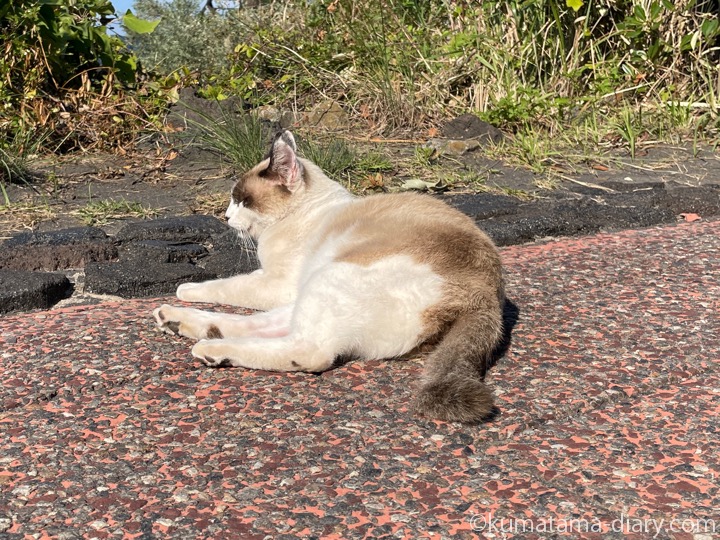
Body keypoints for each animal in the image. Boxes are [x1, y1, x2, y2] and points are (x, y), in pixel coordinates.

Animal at [155, 130, 506, 422]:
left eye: (242, 201)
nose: (226, 217)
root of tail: (485, 298)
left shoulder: (278, 285)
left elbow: (227, 284)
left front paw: (186, 286)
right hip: (312, 292)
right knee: (253, 326)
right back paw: (177, 321)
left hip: (327, 278)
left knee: (306, 351)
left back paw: (210, 350)